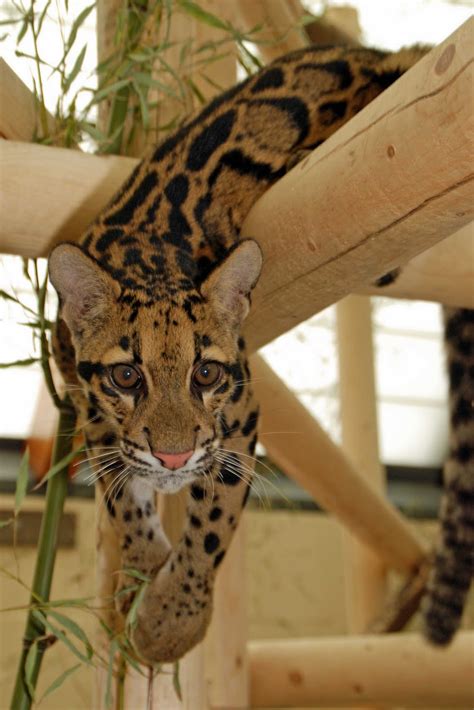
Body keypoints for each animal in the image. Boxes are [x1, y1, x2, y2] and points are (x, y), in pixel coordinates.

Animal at [48, 44, 470, 664]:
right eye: (126, 376)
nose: (173, 458)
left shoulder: (240, 409)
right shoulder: (88, 403)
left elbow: (213, 518)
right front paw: (144, 569)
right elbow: (121, 493)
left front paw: (174, 619)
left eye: (205, 373)